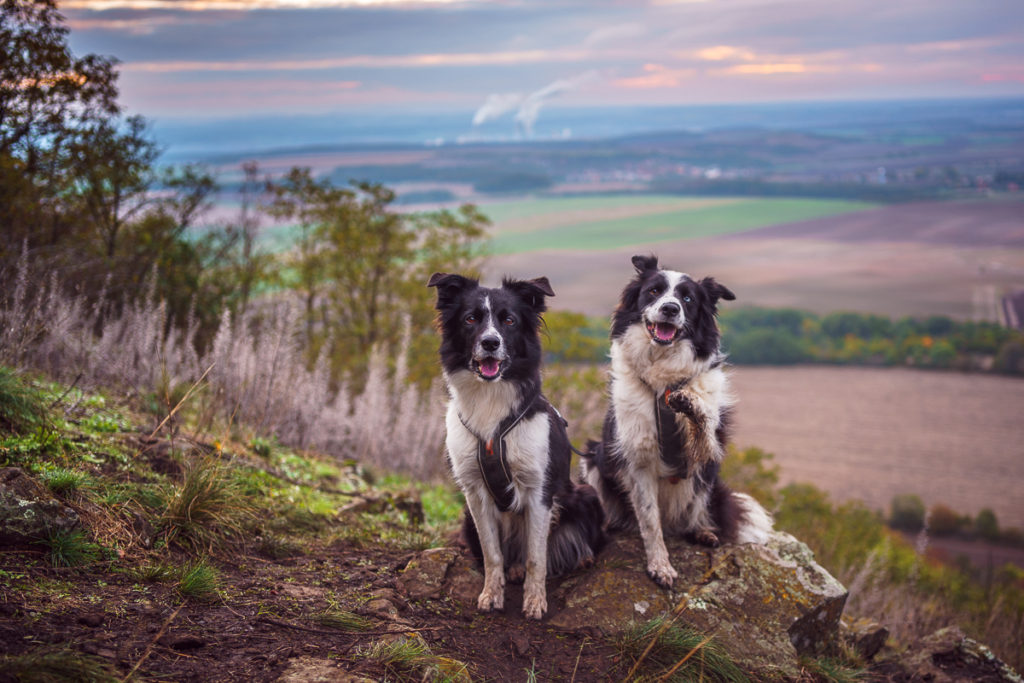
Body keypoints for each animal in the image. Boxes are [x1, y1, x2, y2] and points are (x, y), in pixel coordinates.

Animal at [428, 272, 602, 618]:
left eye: (509, 320)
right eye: (470, 319)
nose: (490, 343)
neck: (490, 400)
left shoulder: (538, 492)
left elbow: (537, 557)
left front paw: (535, 602)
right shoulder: (475, 494)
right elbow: (492, 554)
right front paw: (491, 595)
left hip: (585, 495)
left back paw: (583, 557)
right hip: (467, 518)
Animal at [585, 254, 770, 589]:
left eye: (687, 299)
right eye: (654, 291)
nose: (670, 309)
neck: (662, 377)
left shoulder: (709, 450)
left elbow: (704, 426)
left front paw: (691, 406)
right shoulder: (636, 458)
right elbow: (649, 522)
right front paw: (660, 565)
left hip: (707, 480)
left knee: (694, 512)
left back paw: (702, 531)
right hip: (593, 458)